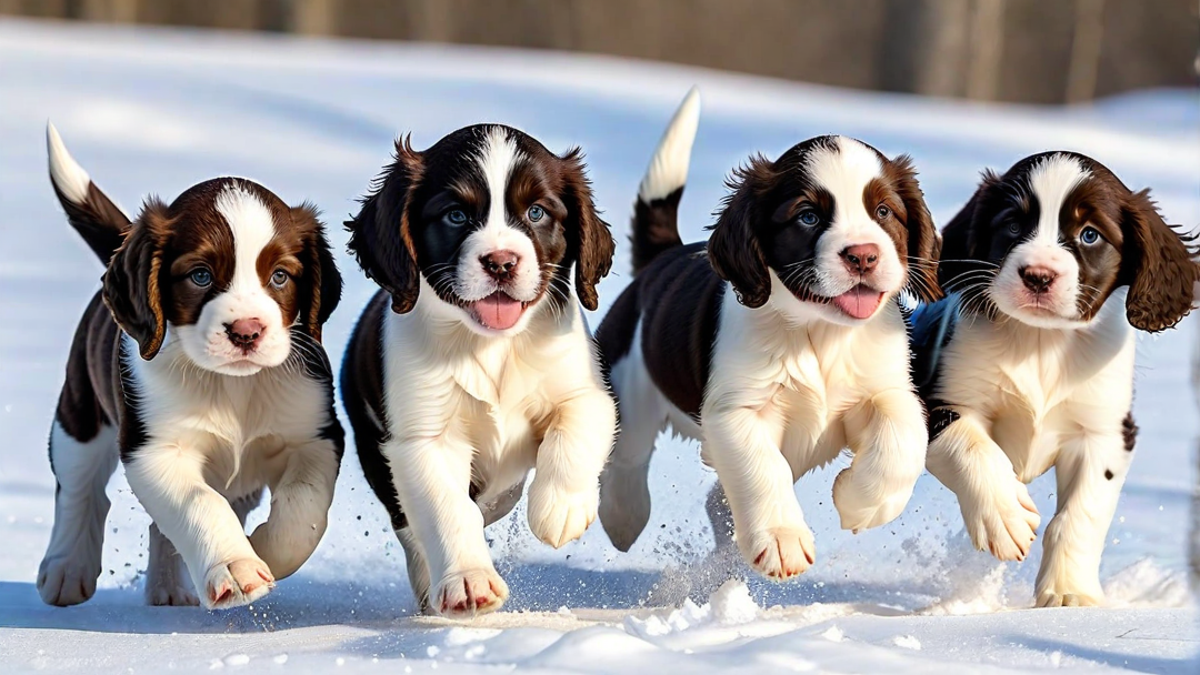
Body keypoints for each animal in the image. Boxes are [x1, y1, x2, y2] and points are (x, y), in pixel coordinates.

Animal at [37, 123, 345, 607]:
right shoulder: (155, 449)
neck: (233, 385)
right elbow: (199, 502)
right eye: (200, 275)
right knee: (80, 488)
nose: (246, 331)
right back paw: (67, 571)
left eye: (280, 275)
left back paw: (168, 591)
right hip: (80, 410)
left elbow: (304, 506)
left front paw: (265, 551)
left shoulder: (315, 436)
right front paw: (238, 568)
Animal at [340, 121, 614, 614]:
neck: (492, 346)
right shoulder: (422, 440)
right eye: (455, 216)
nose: (501, 263)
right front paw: (469, 582)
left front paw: (559, 510)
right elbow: (447, 508)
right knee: (414, 525)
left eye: (538, 212)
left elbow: (575, 431)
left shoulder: (585, 391)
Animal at [595, 90, 940, 578]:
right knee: (628, 452)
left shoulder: (886, 388)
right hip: (629, 379)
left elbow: (903, 434)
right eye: (808, 217)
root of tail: (662, 259)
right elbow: (760, 467)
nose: (863, 256)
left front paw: (861, 503)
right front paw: (781, 540)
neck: (820, 331)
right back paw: (623, 516)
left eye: (884, 211)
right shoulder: (736, 411)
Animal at [912, 151, 1195, 605]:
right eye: (1012, 225)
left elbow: (1080, 515)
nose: (1039, 276)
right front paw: (1006, 516)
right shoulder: (941, 400)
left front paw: (1069, 593)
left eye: (1090, 235)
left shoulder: (1105, 433)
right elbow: (972, 447)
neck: (1041, 343)